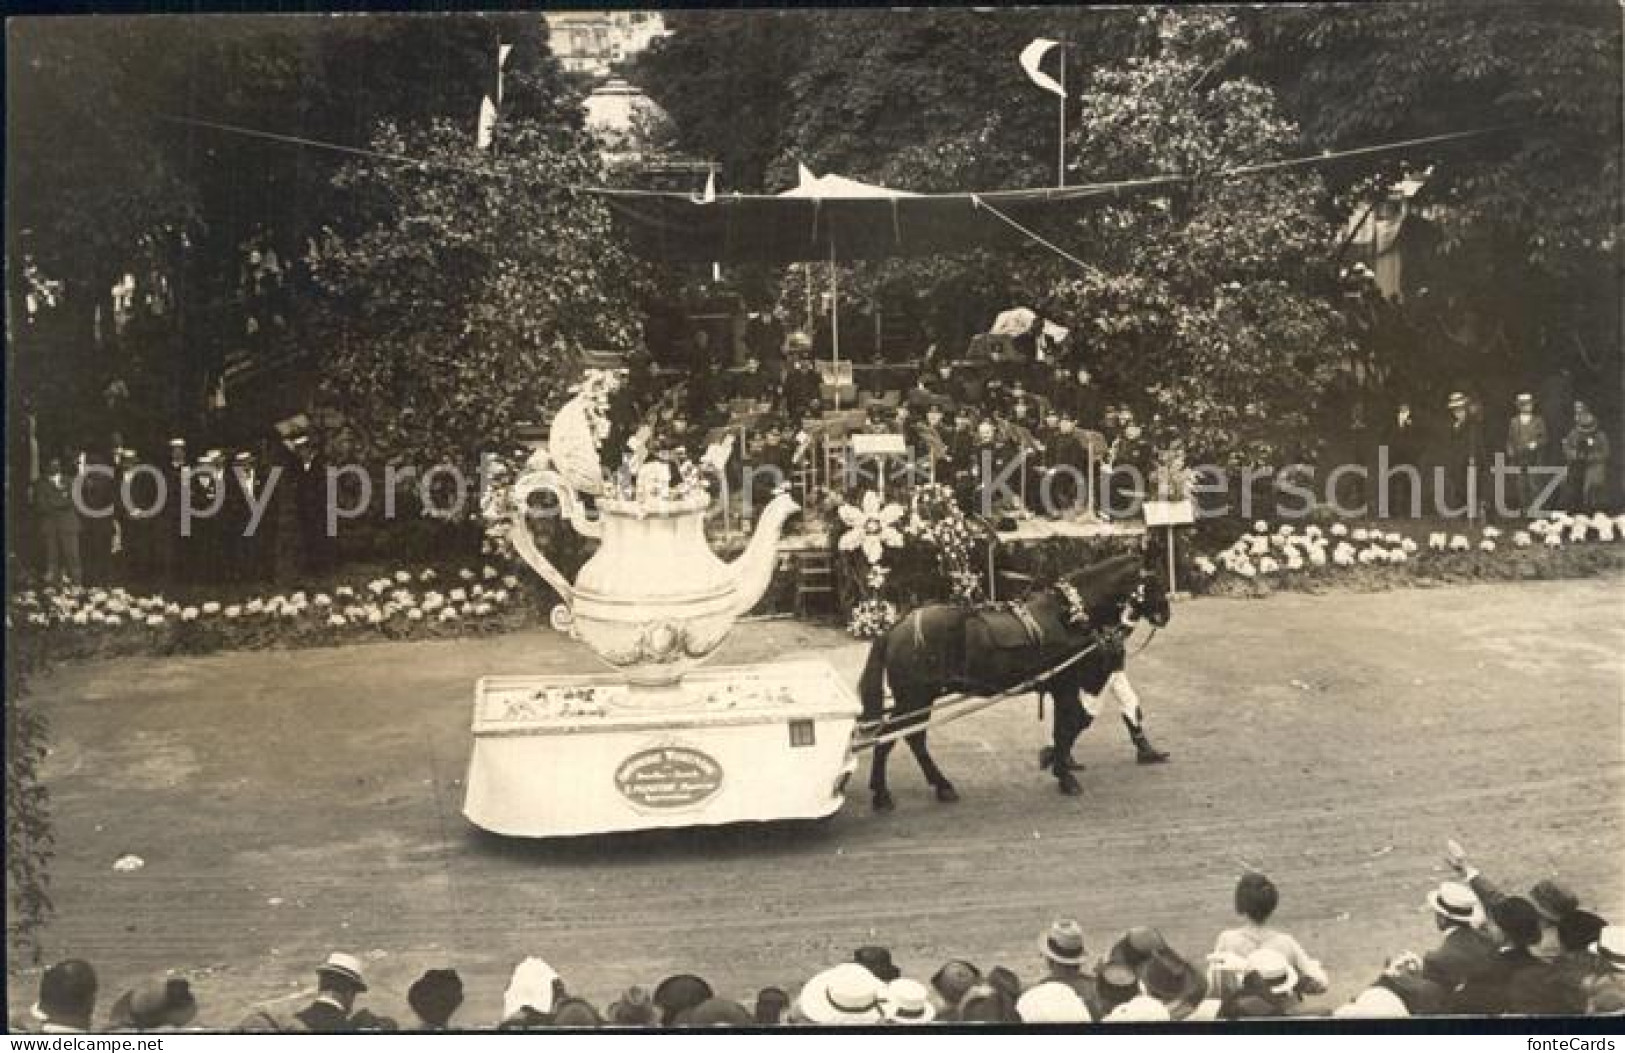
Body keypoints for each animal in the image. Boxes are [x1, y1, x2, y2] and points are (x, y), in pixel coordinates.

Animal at [851, 552, 1170, 806]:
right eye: (1155, 580)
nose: (1165, 614)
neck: (1069, 614)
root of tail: (897, 627)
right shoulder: (1065, 685)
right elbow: (1066, 727)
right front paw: (1064, 775)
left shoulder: (1064, 685)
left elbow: (1069, 725)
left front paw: (1058, 764)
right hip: (915, 696)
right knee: (897, 736)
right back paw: (897, 792)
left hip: (915, 698)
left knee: (903, 737)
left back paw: (919, 788)